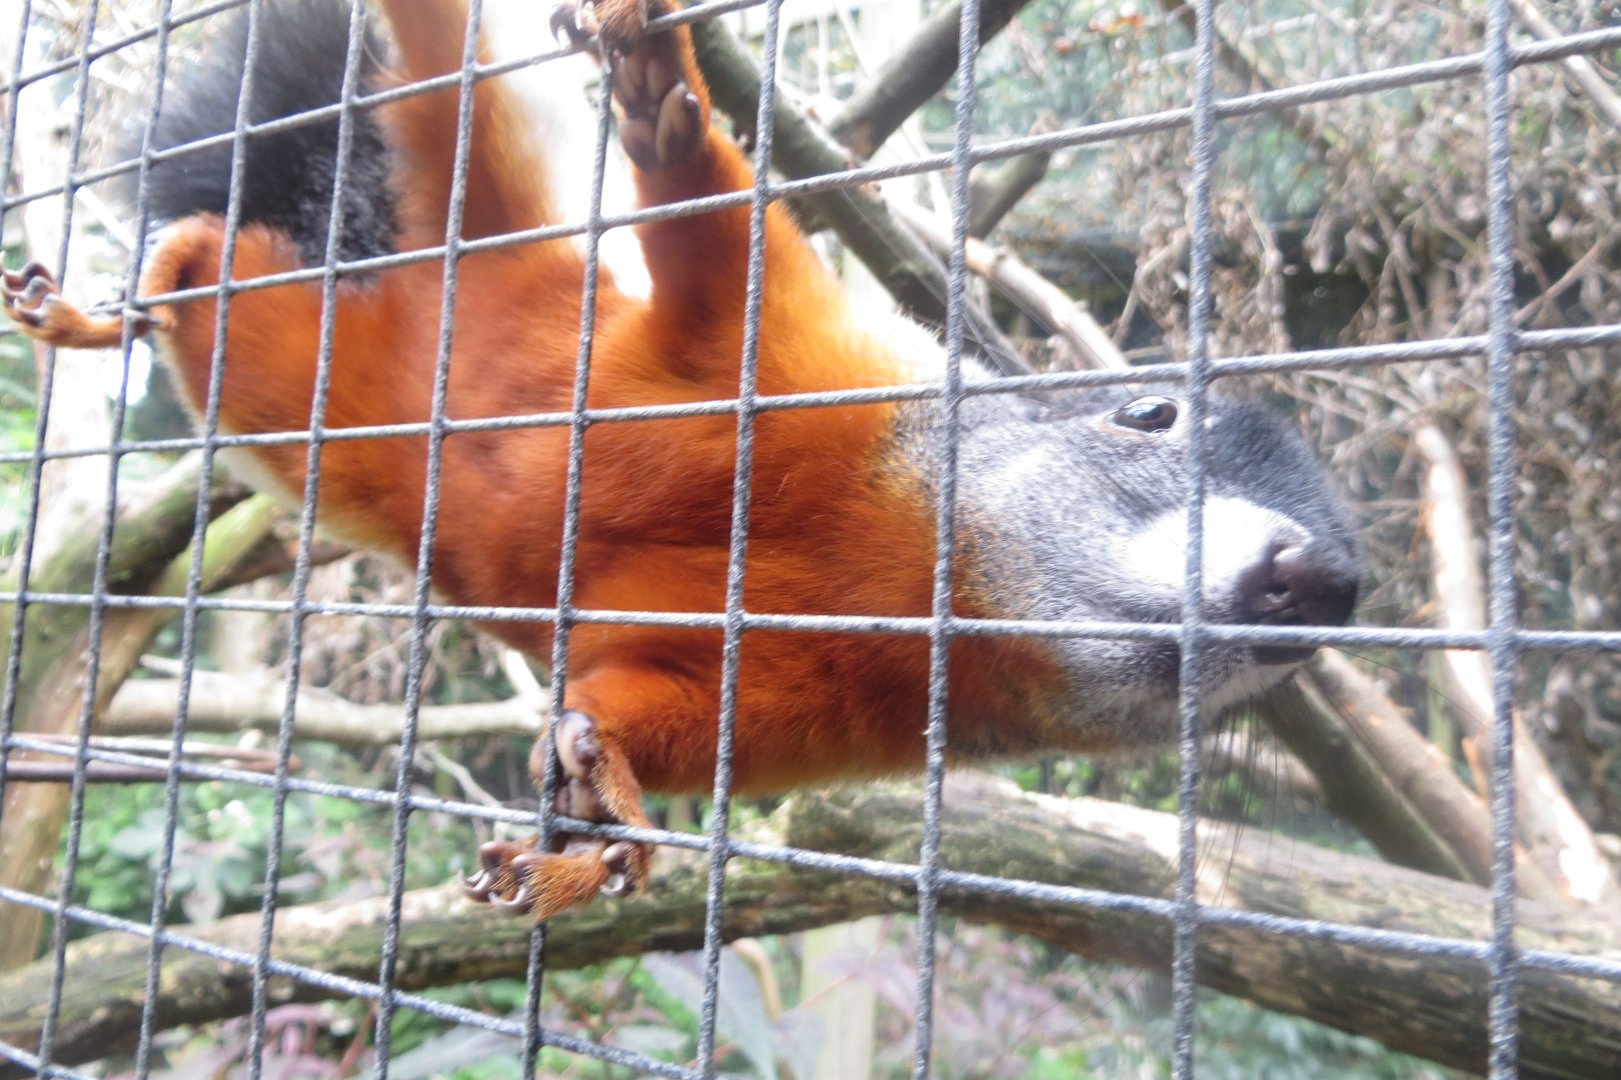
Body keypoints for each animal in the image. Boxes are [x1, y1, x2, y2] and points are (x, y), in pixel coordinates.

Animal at [2, 0, 1360, 920]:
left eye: (1349, 605)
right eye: (1150, 417)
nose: (1307, 579)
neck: (934, 568)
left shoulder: (825, 710)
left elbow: (619, 707)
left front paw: (600, 830)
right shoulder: (801, 367)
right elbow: (720, 256)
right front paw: (665, 107)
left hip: (311, 388)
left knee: (222, 281)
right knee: (288, 192)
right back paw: (109, 315)